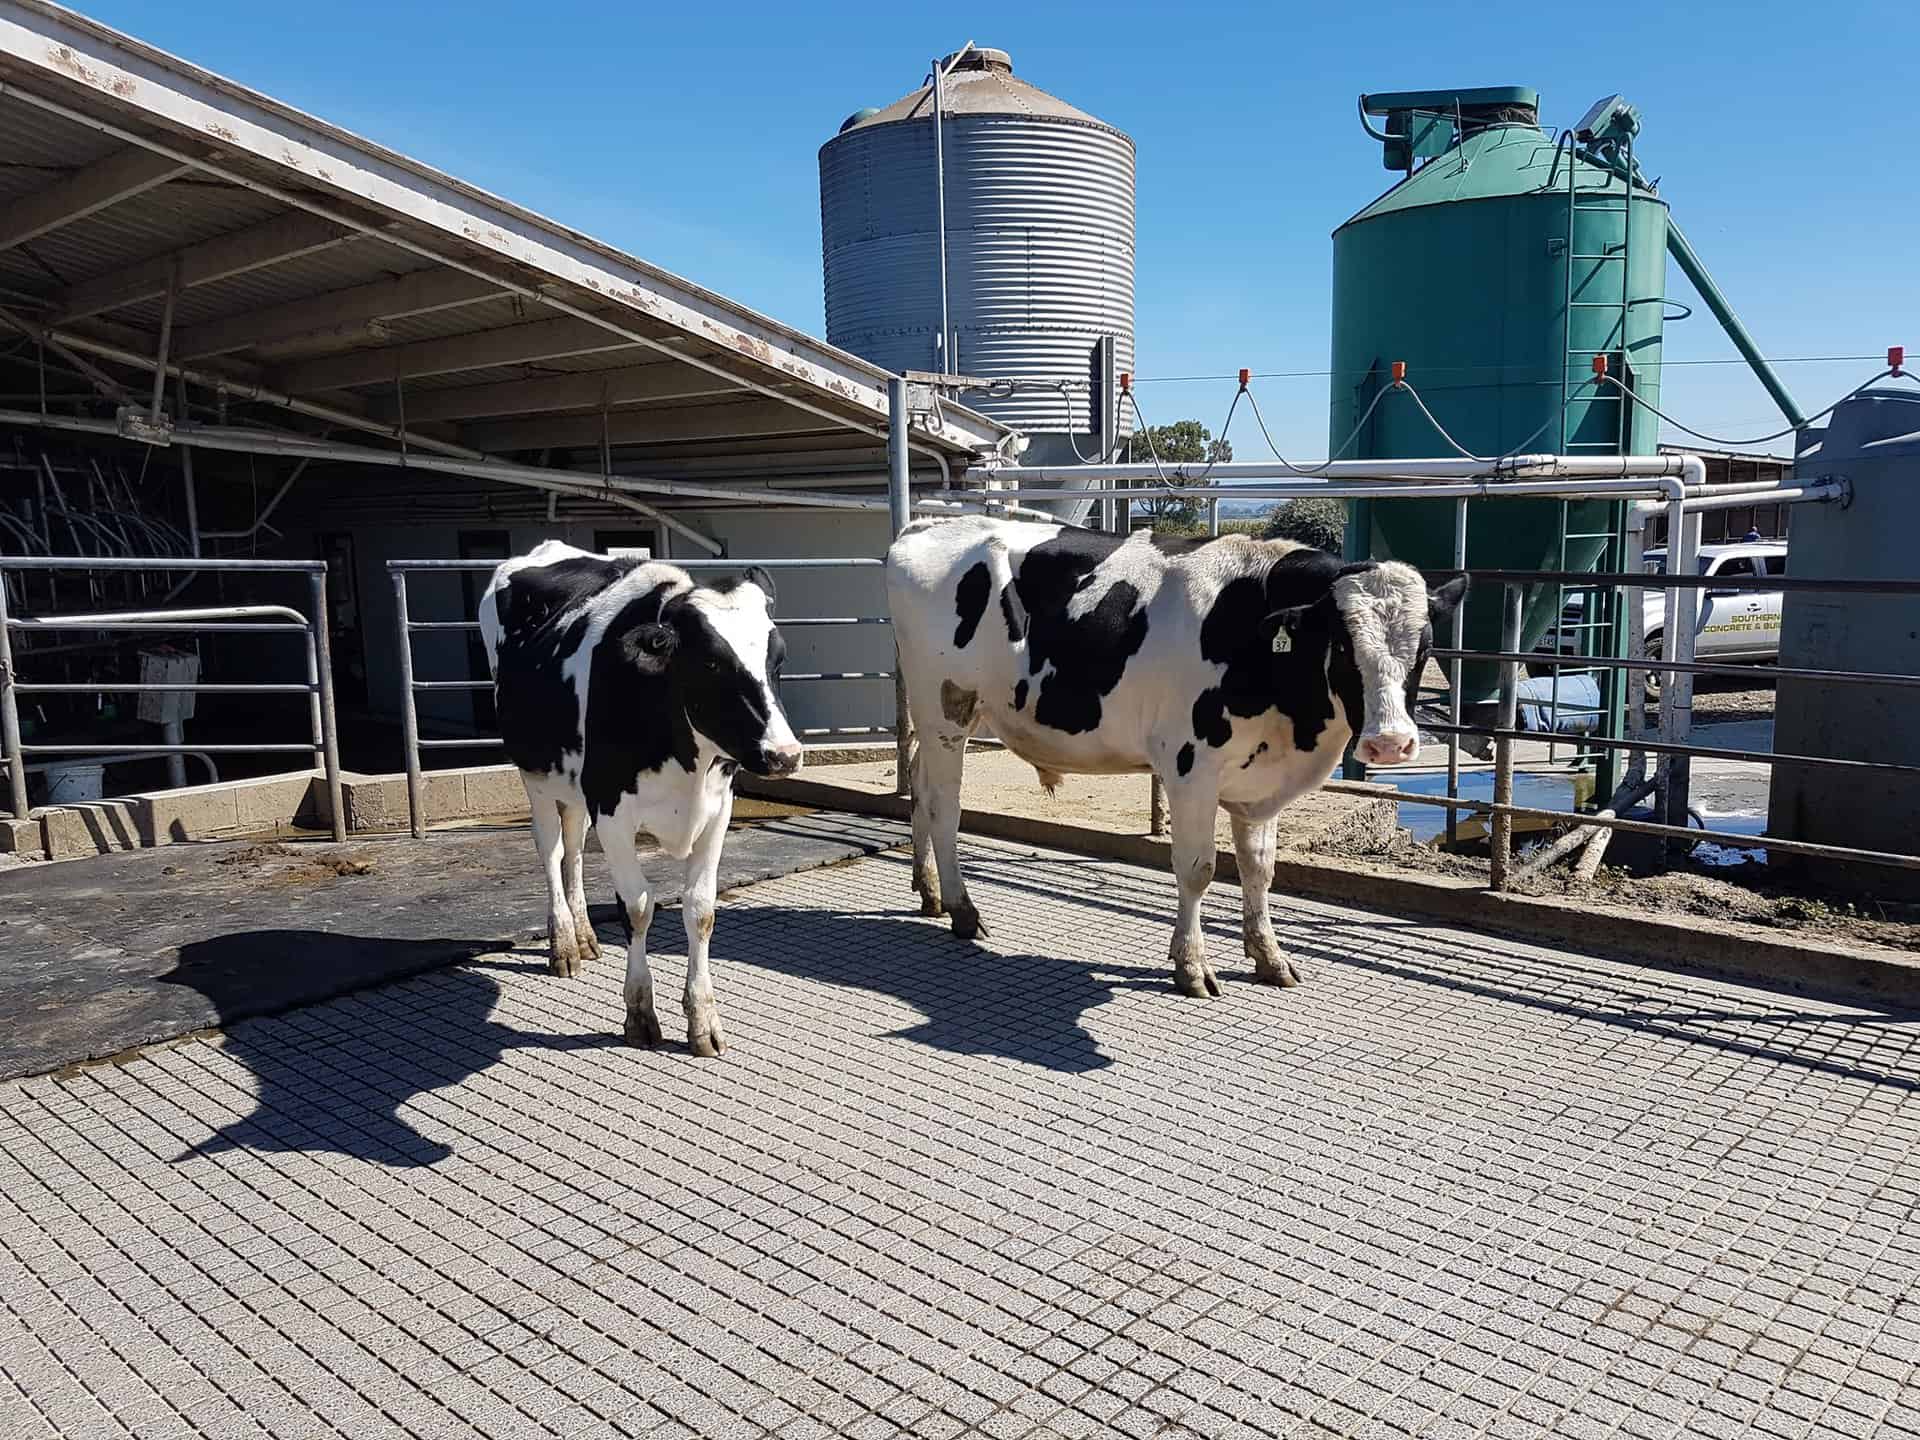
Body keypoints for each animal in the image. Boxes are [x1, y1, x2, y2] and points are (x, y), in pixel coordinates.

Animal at [479, 540, 802, 1055]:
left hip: (576, 786)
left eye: (778, 660)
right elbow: (637, 908)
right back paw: (563, 944)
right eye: (711, 663)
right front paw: (640, 1015)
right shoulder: (612, 811)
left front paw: (703, 1021)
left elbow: (701, 909)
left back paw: (584, 935)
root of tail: (548, 548)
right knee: (551, 849)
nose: (785, 756)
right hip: (535, 774)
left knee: (574, 847)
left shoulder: (718, 810)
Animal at [885, 517, 1466, 998]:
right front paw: (1191, 966)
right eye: (1342, 646)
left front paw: (1269, 956)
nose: (1390, 743)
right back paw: (962, 909)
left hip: (947, 717)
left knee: (918, 785)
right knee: (943, 807)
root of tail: (928, 524)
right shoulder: (1191, 769)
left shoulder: (1260, 781)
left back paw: (929, 891)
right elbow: (1198, 869)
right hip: (947, 707)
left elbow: (1260, 868)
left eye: (1425, 649)